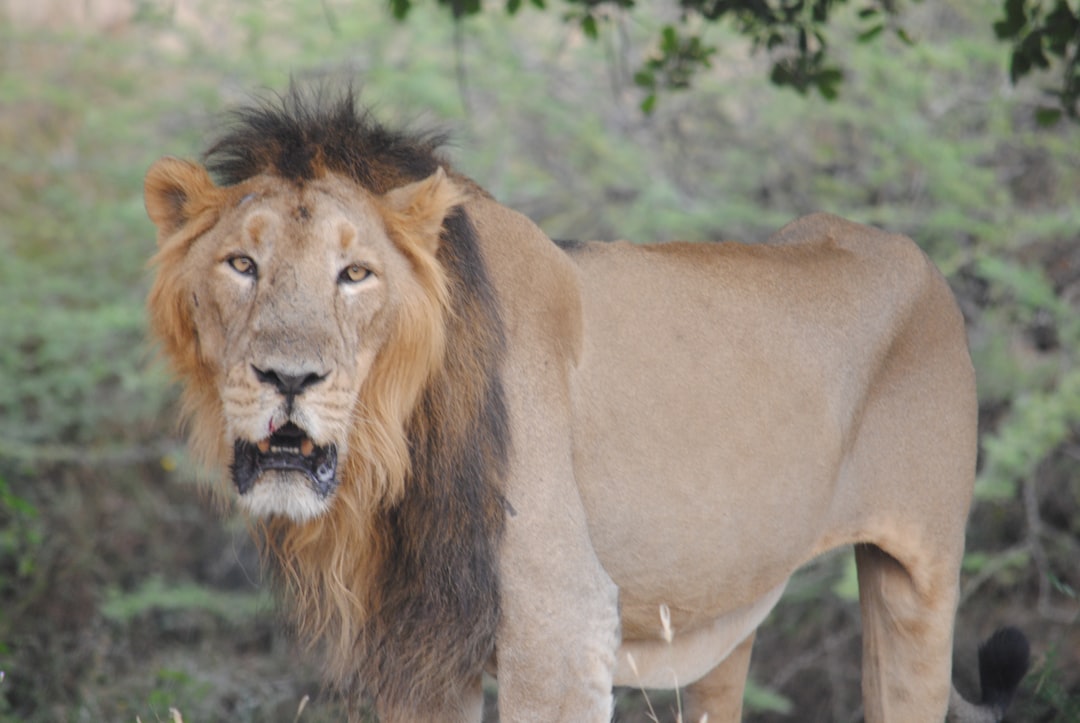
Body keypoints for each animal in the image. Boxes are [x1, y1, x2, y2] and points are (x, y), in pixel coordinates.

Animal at [145, 87, 1028, 717]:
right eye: (241, 264)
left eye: (355, 274)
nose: (288, 378)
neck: (390, 453)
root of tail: (915, 254)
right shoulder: (420, 640)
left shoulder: (560, 625)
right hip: (729, 606)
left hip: (920, 575)